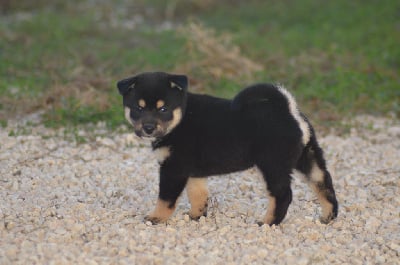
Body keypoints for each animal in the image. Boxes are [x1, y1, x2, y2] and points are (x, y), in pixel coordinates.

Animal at [118, 71, 338, 224]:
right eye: (138, 108)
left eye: (163, 109)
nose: (148, 128)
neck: (181, 119)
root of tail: (289, 109)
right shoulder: (193, 172)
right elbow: (198, 195)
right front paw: (196, 216)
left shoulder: (173, 169)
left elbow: (165, 199)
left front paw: (155, 218)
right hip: (308, 157)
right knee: (323, 183)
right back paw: (328, 217)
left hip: (273, 165)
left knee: (283, 195)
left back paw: (268, 222)